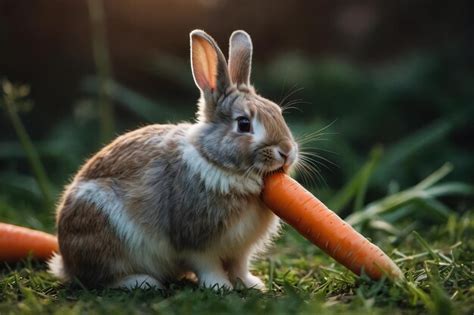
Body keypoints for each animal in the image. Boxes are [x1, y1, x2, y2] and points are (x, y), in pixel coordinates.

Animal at [49, 29, 300, 292]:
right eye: (243, 124)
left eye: (277, 112)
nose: (287, 151)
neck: (217, 162)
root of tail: (66, 262)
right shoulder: (196, 242)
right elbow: (208, 265)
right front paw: (219, 287)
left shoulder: (239, 249)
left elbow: (239, 266)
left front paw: (252, 285)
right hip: (102, 232)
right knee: (101, 278)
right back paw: (142, 282)